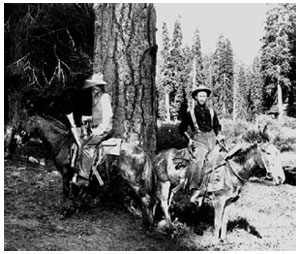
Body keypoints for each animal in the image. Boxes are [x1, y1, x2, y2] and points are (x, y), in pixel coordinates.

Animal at [18, 114, 156, 225]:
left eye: (23, 123)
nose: (18, 140)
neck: (61, 142)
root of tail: (143, 153)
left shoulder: (65, 173)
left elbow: (67, 191)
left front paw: (65, 211)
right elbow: (77, 192)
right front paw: (74, 208)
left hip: (133, 181)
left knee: (147, 200)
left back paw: (148, 224)